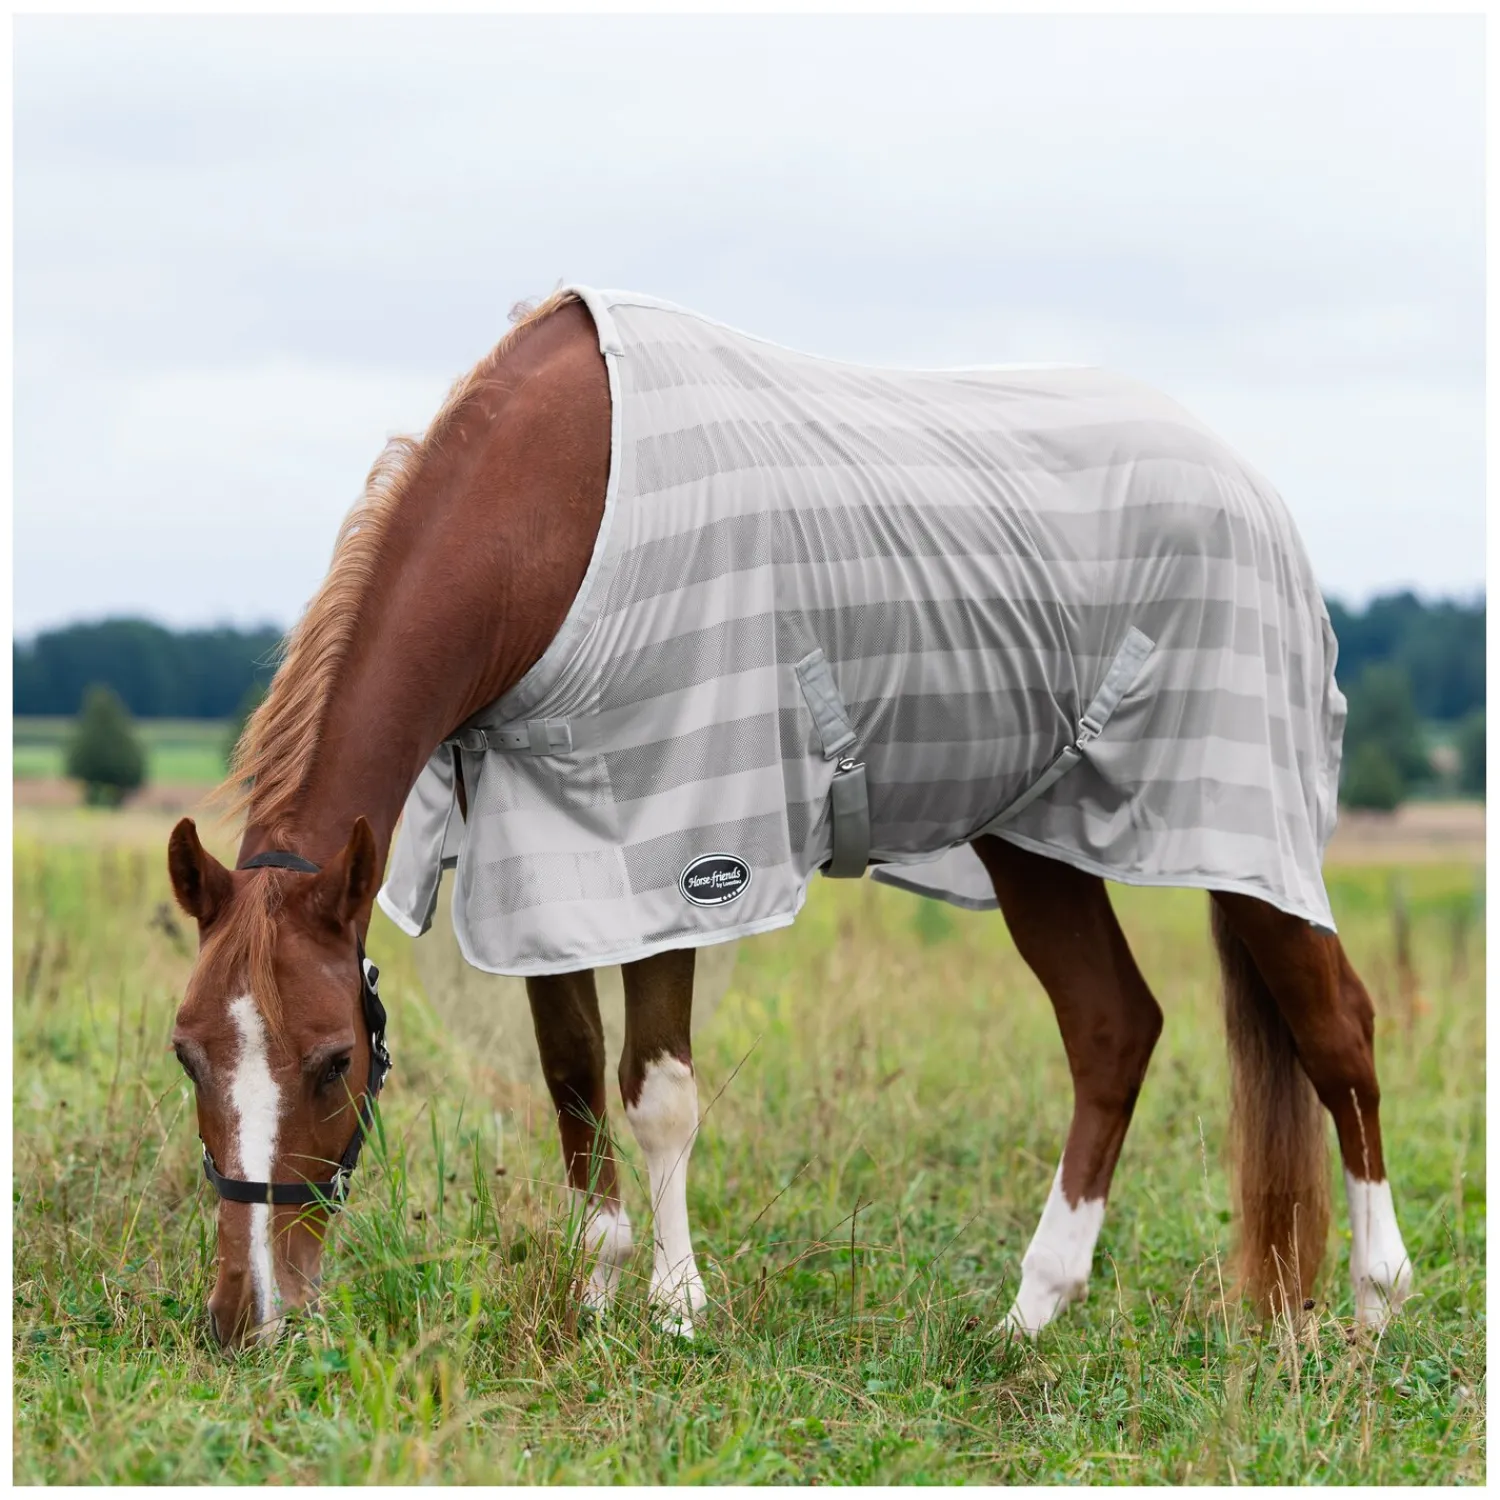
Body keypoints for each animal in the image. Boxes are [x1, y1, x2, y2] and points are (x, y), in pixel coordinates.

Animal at [167, 287, 1413, 1349]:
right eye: (186, 1056)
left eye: (333, 1061)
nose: (246, 1317)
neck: (559, 510)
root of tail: (1251, 486)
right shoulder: (538, 858)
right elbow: (572, 1075)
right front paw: (599, 1285)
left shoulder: (680, 849)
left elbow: (656, 1093)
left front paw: (676, 1306)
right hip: (1038, 842)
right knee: (1114, 1031)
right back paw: (1033, 1312)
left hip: (1241, 835)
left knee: (1337, 1030)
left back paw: (1374, 1303)